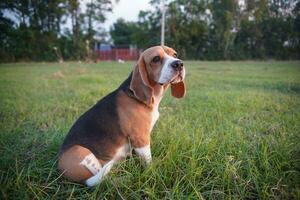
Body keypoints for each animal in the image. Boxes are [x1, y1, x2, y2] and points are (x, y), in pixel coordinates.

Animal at [57, 45, 186, 186]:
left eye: (175, 54)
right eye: (156, 59)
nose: (179, 64)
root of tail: (60, 167)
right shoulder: (141, 138)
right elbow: (148, 161)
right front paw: (152, 173)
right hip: (83, 153)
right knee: (102, 181)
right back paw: (125, 179)